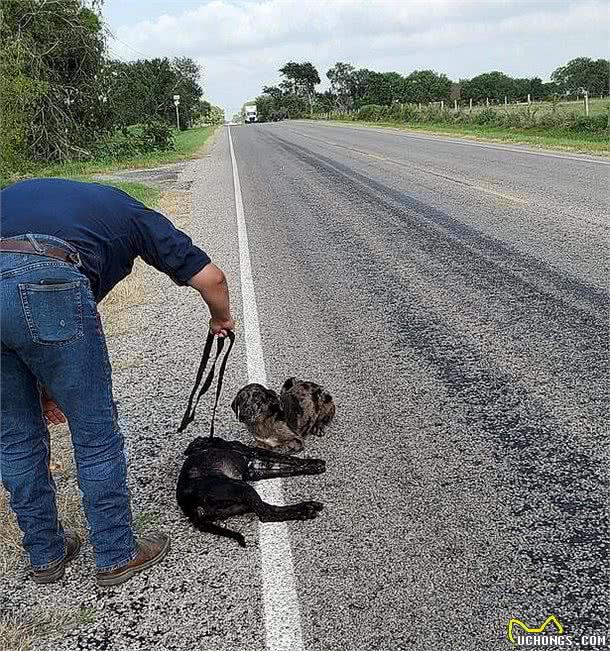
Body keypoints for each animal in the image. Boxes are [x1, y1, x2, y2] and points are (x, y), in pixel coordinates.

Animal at [176, 436, 326, 548]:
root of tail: (189, 508)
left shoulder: (253, 469)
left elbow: (286, 469)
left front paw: (312, 468)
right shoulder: (255, 454)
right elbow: (288, 458)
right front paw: (315, 463)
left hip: (240, 502)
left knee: (269, 509)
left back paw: (306, 508)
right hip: (241, 488)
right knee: (266, 515)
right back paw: (305, 511)